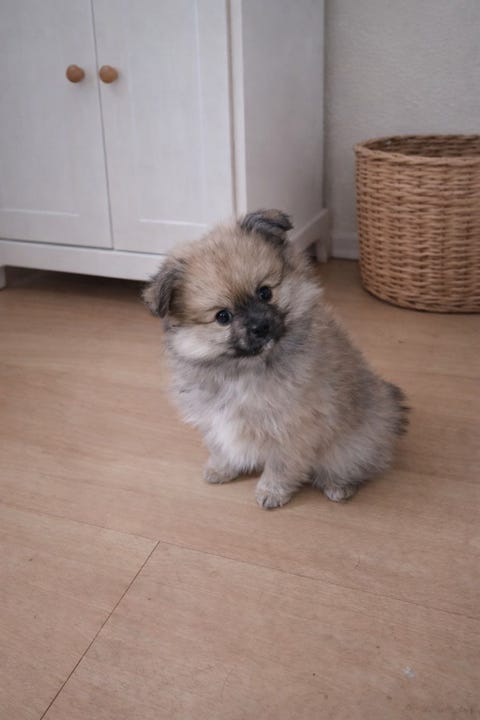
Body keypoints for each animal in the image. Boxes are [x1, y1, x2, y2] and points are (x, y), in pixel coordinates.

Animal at [143, 209, 407, 509]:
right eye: (223, 316)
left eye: (265, 292)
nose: (260, 326)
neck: (243, 369)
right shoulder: (215, 419)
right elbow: (222, 446)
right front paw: (222, 468)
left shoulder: (292, 425)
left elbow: (281, 463)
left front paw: (272, 491)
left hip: (350, 445)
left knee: (356, 463)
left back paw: (339, 485)